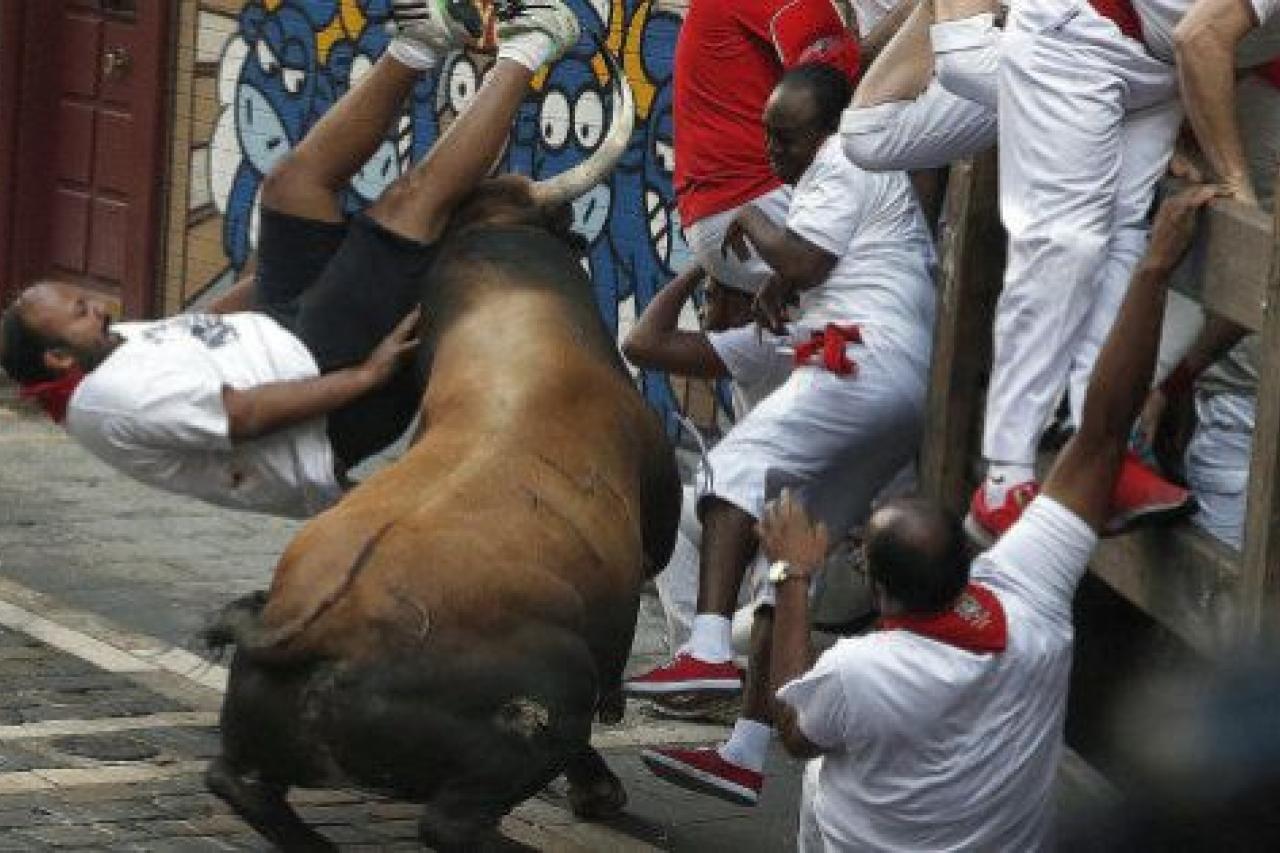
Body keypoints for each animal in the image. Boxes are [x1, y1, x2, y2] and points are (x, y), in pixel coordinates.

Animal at [200, 53, 680, 850]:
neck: (511, 311)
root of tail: (312, 629)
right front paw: (599, 792)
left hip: (256, 743)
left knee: (235, 782)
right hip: (547, 703)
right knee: (452, 821)